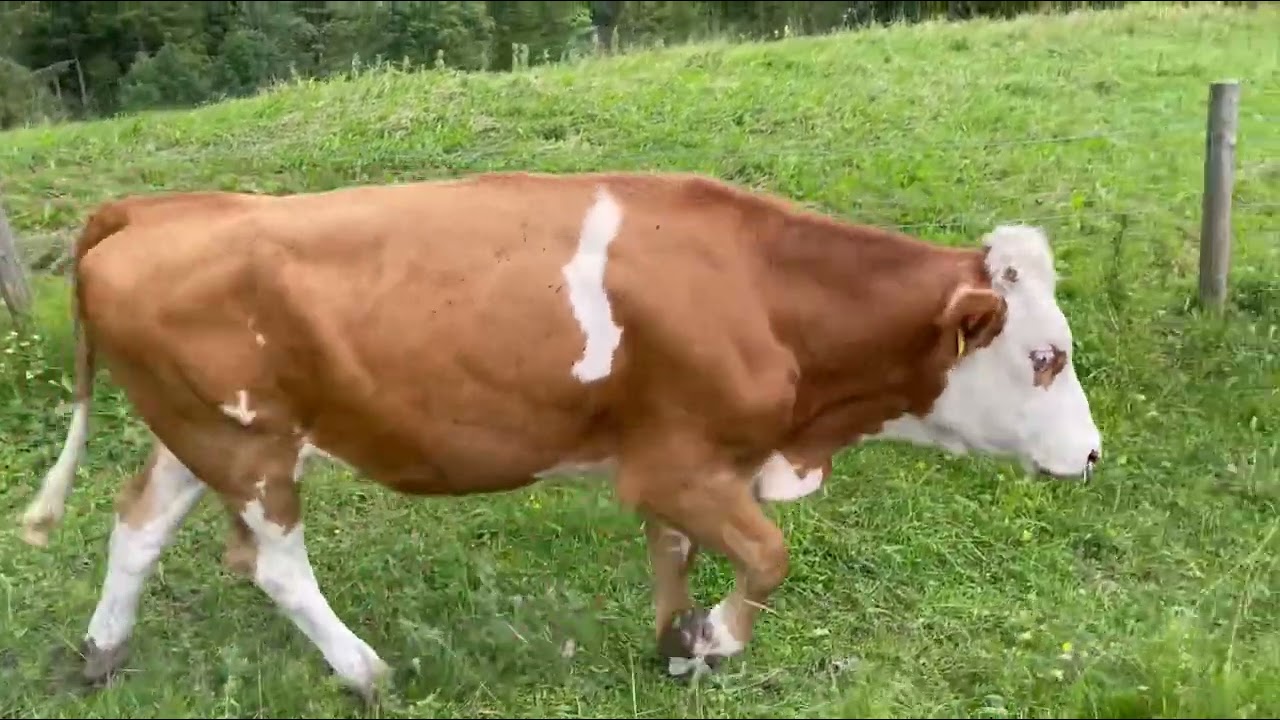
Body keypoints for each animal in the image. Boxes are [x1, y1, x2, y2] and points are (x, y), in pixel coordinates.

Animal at [17, 170, 1102, 703]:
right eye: (1046, 356)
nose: (1091, 455)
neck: (760, 292)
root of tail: (155, 210)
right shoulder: (679, 464)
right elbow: (765, 555)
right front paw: (716, 638)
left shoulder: (680, 458)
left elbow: (677, 554)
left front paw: (679, 644)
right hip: (250, 449)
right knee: (272, 564)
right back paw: (365, 671)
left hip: (201, 432)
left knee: (137, 525)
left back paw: (102, 653)